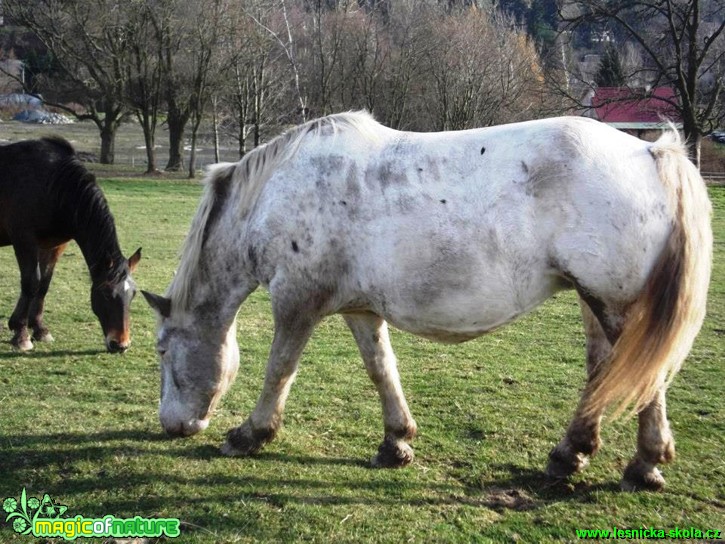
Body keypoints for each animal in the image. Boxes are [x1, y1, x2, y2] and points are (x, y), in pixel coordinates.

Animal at [0, 137, 141, 352]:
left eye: (132, 294)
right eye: (106, 294)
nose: (121, 344)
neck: (52, 184)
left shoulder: (54, 246)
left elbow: (44, 284)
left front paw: (40, 329)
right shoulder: (24, 240)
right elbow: (31, 282)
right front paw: (21, 333)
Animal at [144, 110, 708, 488]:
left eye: (162, 350)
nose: (173, 426)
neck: (275, 193)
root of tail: (650, 152)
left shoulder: (296, 301)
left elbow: (279, 370)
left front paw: (251, 434)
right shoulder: (360, 309)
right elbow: (381, 369)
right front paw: (396, 441)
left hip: (614, 304)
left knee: (645, 379)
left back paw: (644, 465)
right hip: (593, 300)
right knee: (603, 372)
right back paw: (570, 454)